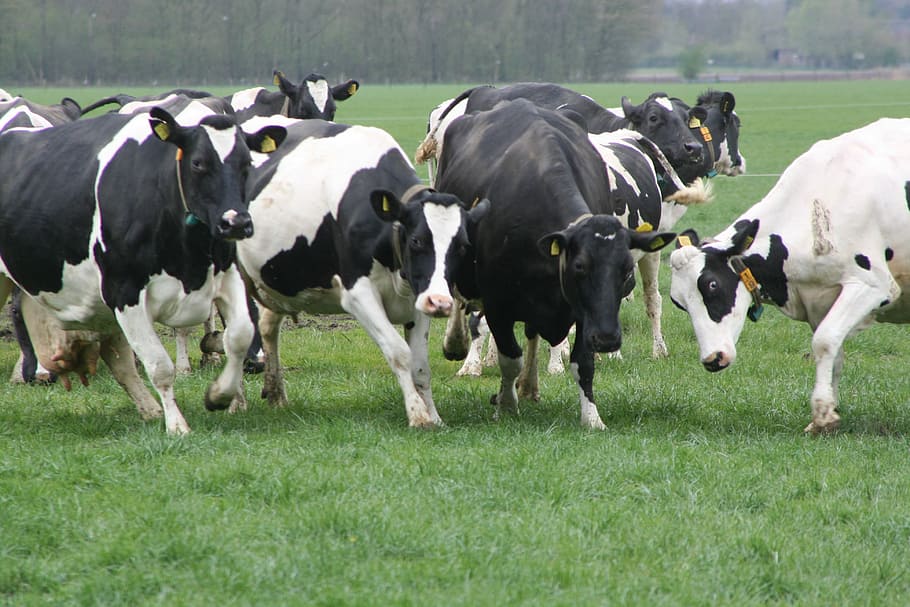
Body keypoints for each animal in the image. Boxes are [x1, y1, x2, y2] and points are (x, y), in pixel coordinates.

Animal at [0, 100, 286, 434]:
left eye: (247, 163)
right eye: (198, 163)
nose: (237, 223)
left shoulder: (228, 276)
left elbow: (239, 337)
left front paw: (219, 395)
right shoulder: (124, 291)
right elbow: (160, 366)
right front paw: (177, 426)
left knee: (119, 361)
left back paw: (149, 409)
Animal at [235, 115, 486, 428]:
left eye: (462, 246)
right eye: (416, 240)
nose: (441, 303)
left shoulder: (419, 296)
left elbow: (420, 366)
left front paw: (434, 415)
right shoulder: (358, 294)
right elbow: (399, 353)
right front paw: (417, 415)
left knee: (268, 328)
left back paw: (276, 394)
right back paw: (236, 400)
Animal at [435, 99, 675, 429]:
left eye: (626, 273)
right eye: (579, 267)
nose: (608, 338)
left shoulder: (583, 311)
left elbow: (582, 363)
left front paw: (592, 417)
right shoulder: (498, 303)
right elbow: (509, 357)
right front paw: (506, 405)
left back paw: (529, 385)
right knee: (460, 300)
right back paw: (457, 343)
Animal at [668, 118, 910, 434]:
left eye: (712, 284)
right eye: (679, 303)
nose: (712, 359)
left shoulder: (872, 285)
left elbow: (824, 341)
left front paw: (822, 414)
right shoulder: (820, 300)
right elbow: (834, 352)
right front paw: (828, 412)